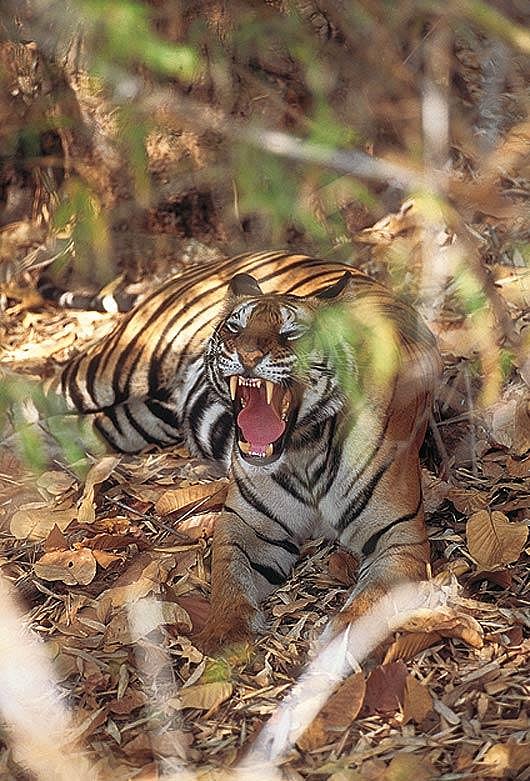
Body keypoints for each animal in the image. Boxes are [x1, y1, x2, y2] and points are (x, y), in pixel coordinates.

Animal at [27, 250, 443, 652]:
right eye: (235, 327)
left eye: (291, 332)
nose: (247, 356)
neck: (305, 449)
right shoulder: (244, 524)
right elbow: (231, 579)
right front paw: (224, 636)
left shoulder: (401, 537)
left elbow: (372, 599)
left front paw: (339, 642)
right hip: (110, 369)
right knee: (36, 393)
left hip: (140, 418)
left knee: (75, 425)